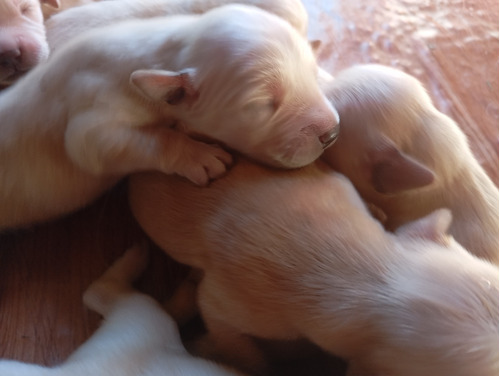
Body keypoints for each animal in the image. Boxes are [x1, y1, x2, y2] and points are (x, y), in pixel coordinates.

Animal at [0, 5, 340, 229]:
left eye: (311, 73)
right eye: (263, 104)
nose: (332, 133)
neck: (169, 45)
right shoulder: (92, 106)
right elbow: (94, 142)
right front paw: (199, 155)